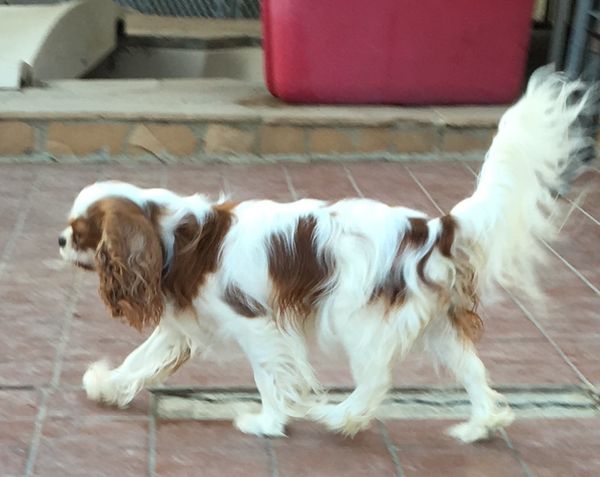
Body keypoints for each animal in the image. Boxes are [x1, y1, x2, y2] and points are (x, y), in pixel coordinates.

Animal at [58, 68, 595, 442]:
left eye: (81, 232)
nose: (59, 240)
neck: (172, 235)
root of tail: (431, 228)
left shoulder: (257, 324)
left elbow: (268, 377)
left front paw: (267, 423)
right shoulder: (183, 326)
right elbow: (141, 357)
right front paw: (109, 385)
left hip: (359, 318)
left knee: (376, 379)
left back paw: (342, 417)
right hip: (437, 327)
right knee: (474, 373)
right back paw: (479, 426)